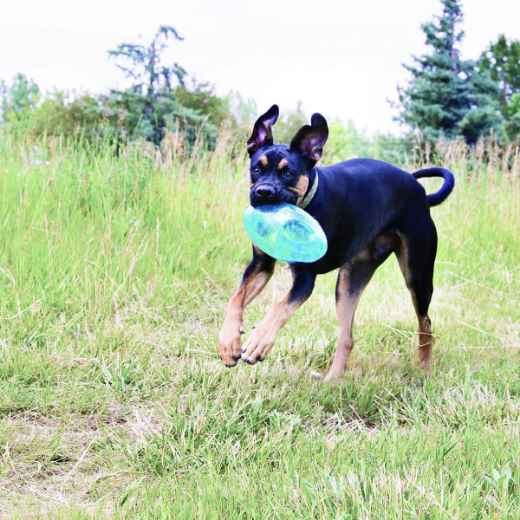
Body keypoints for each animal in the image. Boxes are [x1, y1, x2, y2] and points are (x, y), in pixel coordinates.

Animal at [217, 105, 452, 382]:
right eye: (256, 168)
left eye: (288, 172)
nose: (263, 192)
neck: (307, 201)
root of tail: (421, 194)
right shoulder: (260, 265)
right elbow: (235, 299)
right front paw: (228, 342)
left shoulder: (305, 279)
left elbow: (279, 307)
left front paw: (258, 341)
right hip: (350, 281)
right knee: (347, 337)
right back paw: (331, 381)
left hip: (417, 274)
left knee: (425, 323)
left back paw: (424, 368)